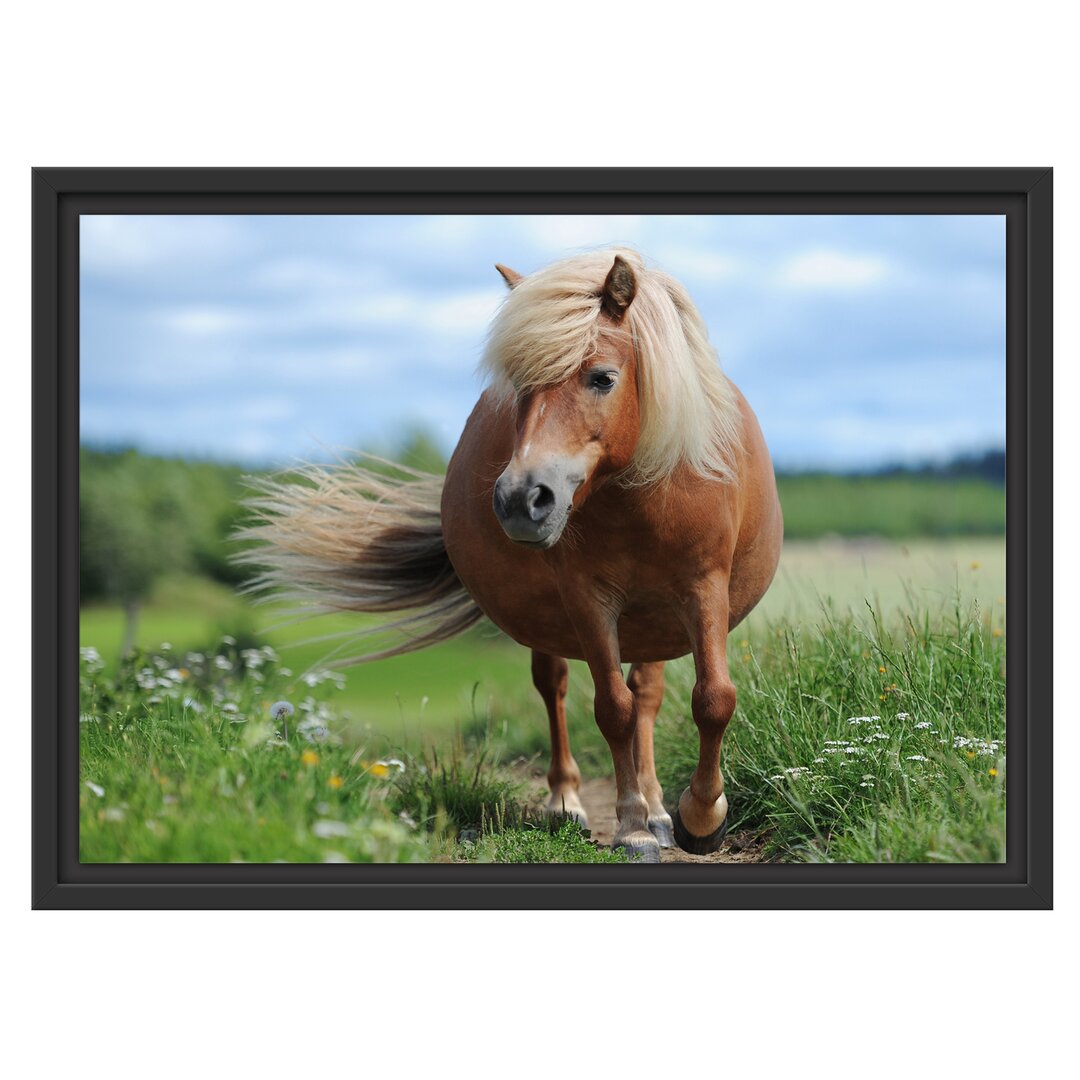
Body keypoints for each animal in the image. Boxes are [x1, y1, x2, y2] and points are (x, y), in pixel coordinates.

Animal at [243, 248, 786, 864]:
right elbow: (612, 709)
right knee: (557, 687)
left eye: (603, 377)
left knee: (647, 694)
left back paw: (658, 806)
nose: (521, 499)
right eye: (519, 388)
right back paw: (569, 804)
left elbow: (711, 699)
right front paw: (632, 827)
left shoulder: (703, 587)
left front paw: (699, 817)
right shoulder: (587, 599)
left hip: (655, 621)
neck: (642, 493)